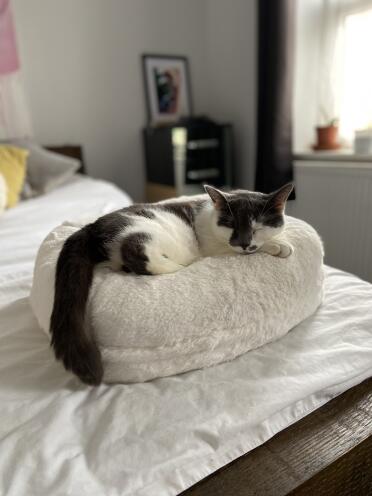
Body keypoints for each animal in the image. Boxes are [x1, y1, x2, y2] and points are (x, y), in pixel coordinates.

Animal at [50, 181, 294, 384]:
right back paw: (182, 266)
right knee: (136, 249)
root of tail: (92, 225)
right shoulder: (215, 248)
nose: (243, 242)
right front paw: (278, 245)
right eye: (231, 225)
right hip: (147, 230)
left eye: (256, 227)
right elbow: (241, 250)